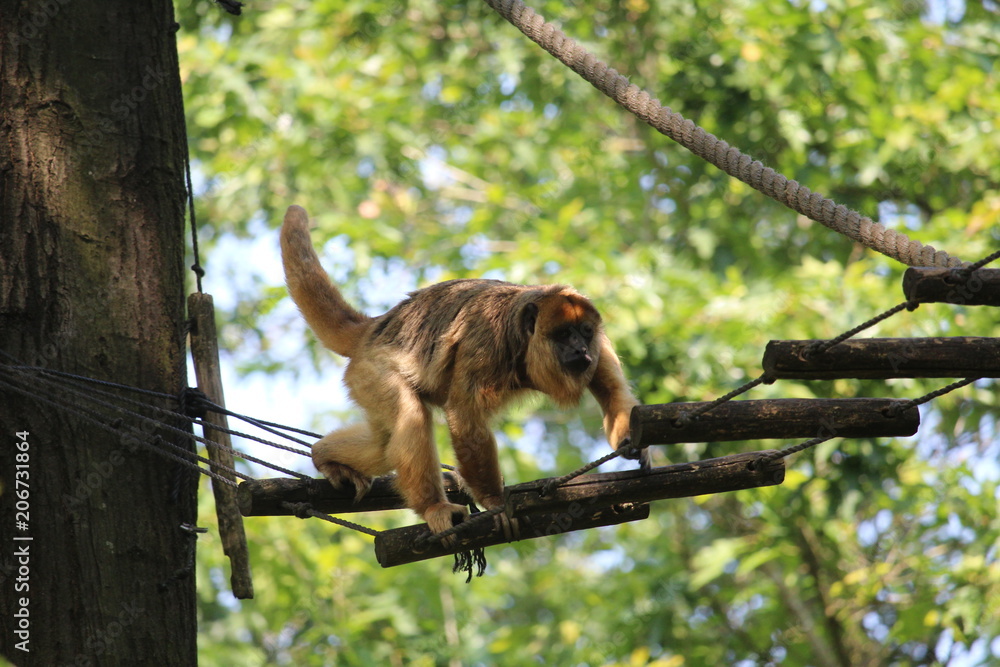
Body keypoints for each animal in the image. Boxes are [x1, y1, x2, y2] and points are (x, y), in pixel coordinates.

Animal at [280, 204, 646, 539]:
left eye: (584, 332)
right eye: (563, 335)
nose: (581, 350)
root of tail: (375, 328)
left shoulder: (602, 344)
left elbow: (613, 392)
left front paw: (632, 441)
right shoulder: (484, 340)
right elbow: (465, 418)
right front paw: (496, 501)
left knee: (383, 443)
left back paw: (324, 455)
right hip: (373, 372)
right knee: (410, 418)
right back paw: (433, 507)